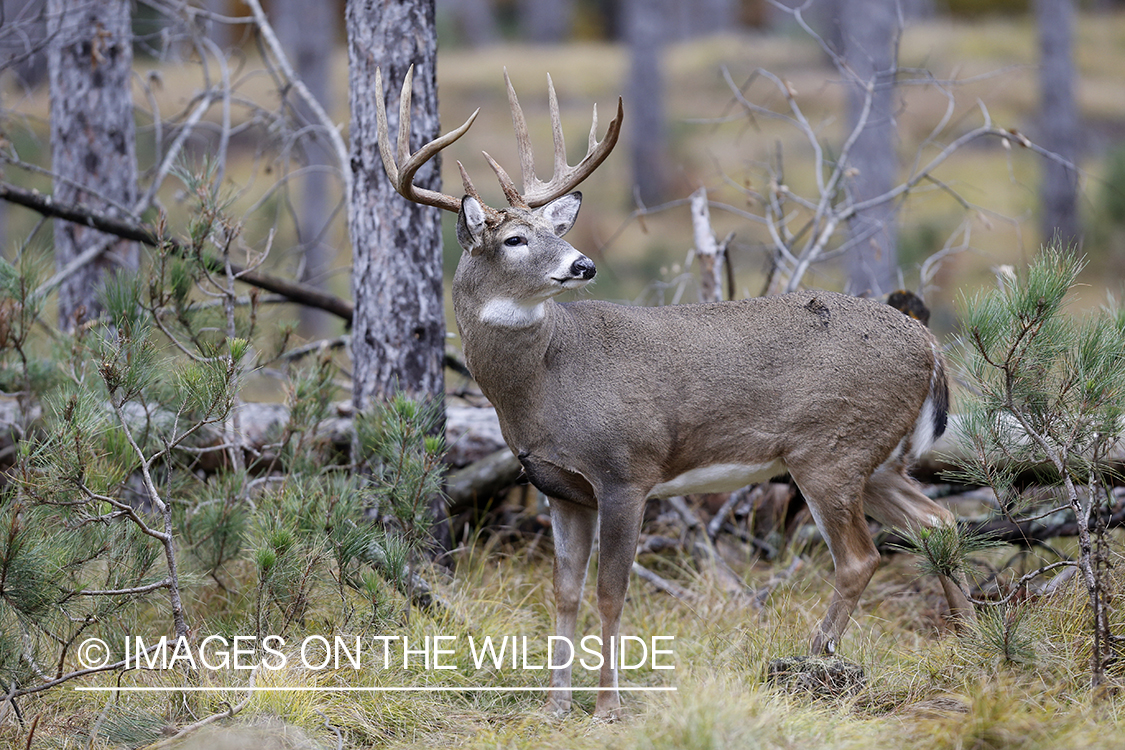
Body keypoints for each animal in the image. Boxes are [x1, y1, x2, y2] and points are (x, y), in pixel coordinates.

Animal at [373, 67, 972, 719]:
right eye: (512, 240)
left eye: (555, 230)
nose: (583, 264)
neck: (545, 382)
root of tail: (928, 343)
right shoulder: (561, 488)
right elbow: (563, 592)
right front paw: (556, 705)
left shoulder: (626, 471)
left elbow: (611, 592)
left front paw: (607, 706)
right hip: (877, 458)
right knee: (940, 522)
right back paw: (970, 641)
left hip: (830, 451)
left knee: (861, 557)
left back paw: (812, 659)